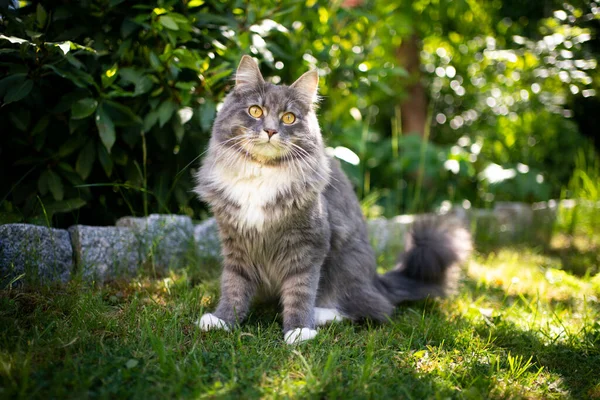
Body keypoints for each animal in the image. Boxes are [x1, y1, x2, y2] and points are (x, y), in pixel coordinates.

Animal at [195, 55, 472, 344]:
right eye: (256, 111)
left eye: (288, 118)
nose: (270, 131)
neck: (262, 172)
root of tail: (377, 280)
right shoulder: (236, 243)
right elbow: (233, 286)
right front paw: (223, 320)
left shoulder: (308, 244)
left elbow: (300, 291)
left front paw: (299, 330)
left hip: (346, 265)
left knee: (372, 309)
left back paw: (320, 315)